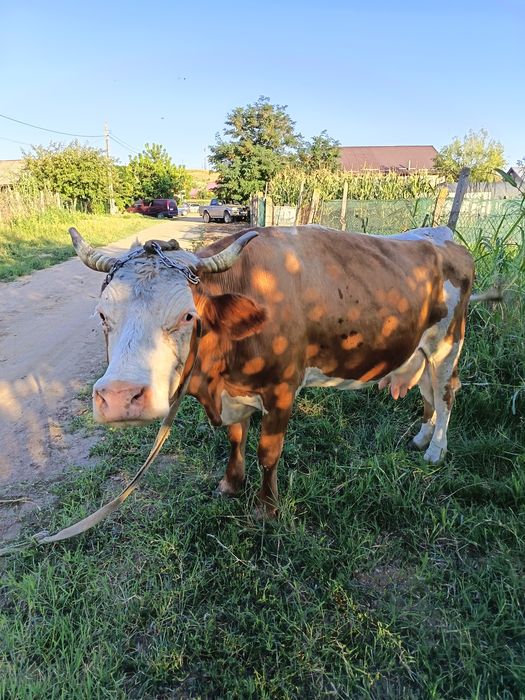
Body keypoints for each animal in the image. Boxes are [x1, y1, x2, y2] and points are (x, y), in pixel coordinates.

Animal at [69, 225, 474, 516]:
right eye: (102, 315)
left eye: (187, 316)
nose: (120, 397)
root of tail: (443, 237)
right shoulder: (235, 393)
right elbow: (236, 438)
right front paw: (231, 485)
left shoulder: (281, 390)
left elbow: (268, 452)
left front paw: (267, 509)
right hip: (419, 352)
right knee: (428, 393)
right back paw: (422, 437)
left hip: (447, 344)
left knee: (446, 393)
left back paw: (436, 450)